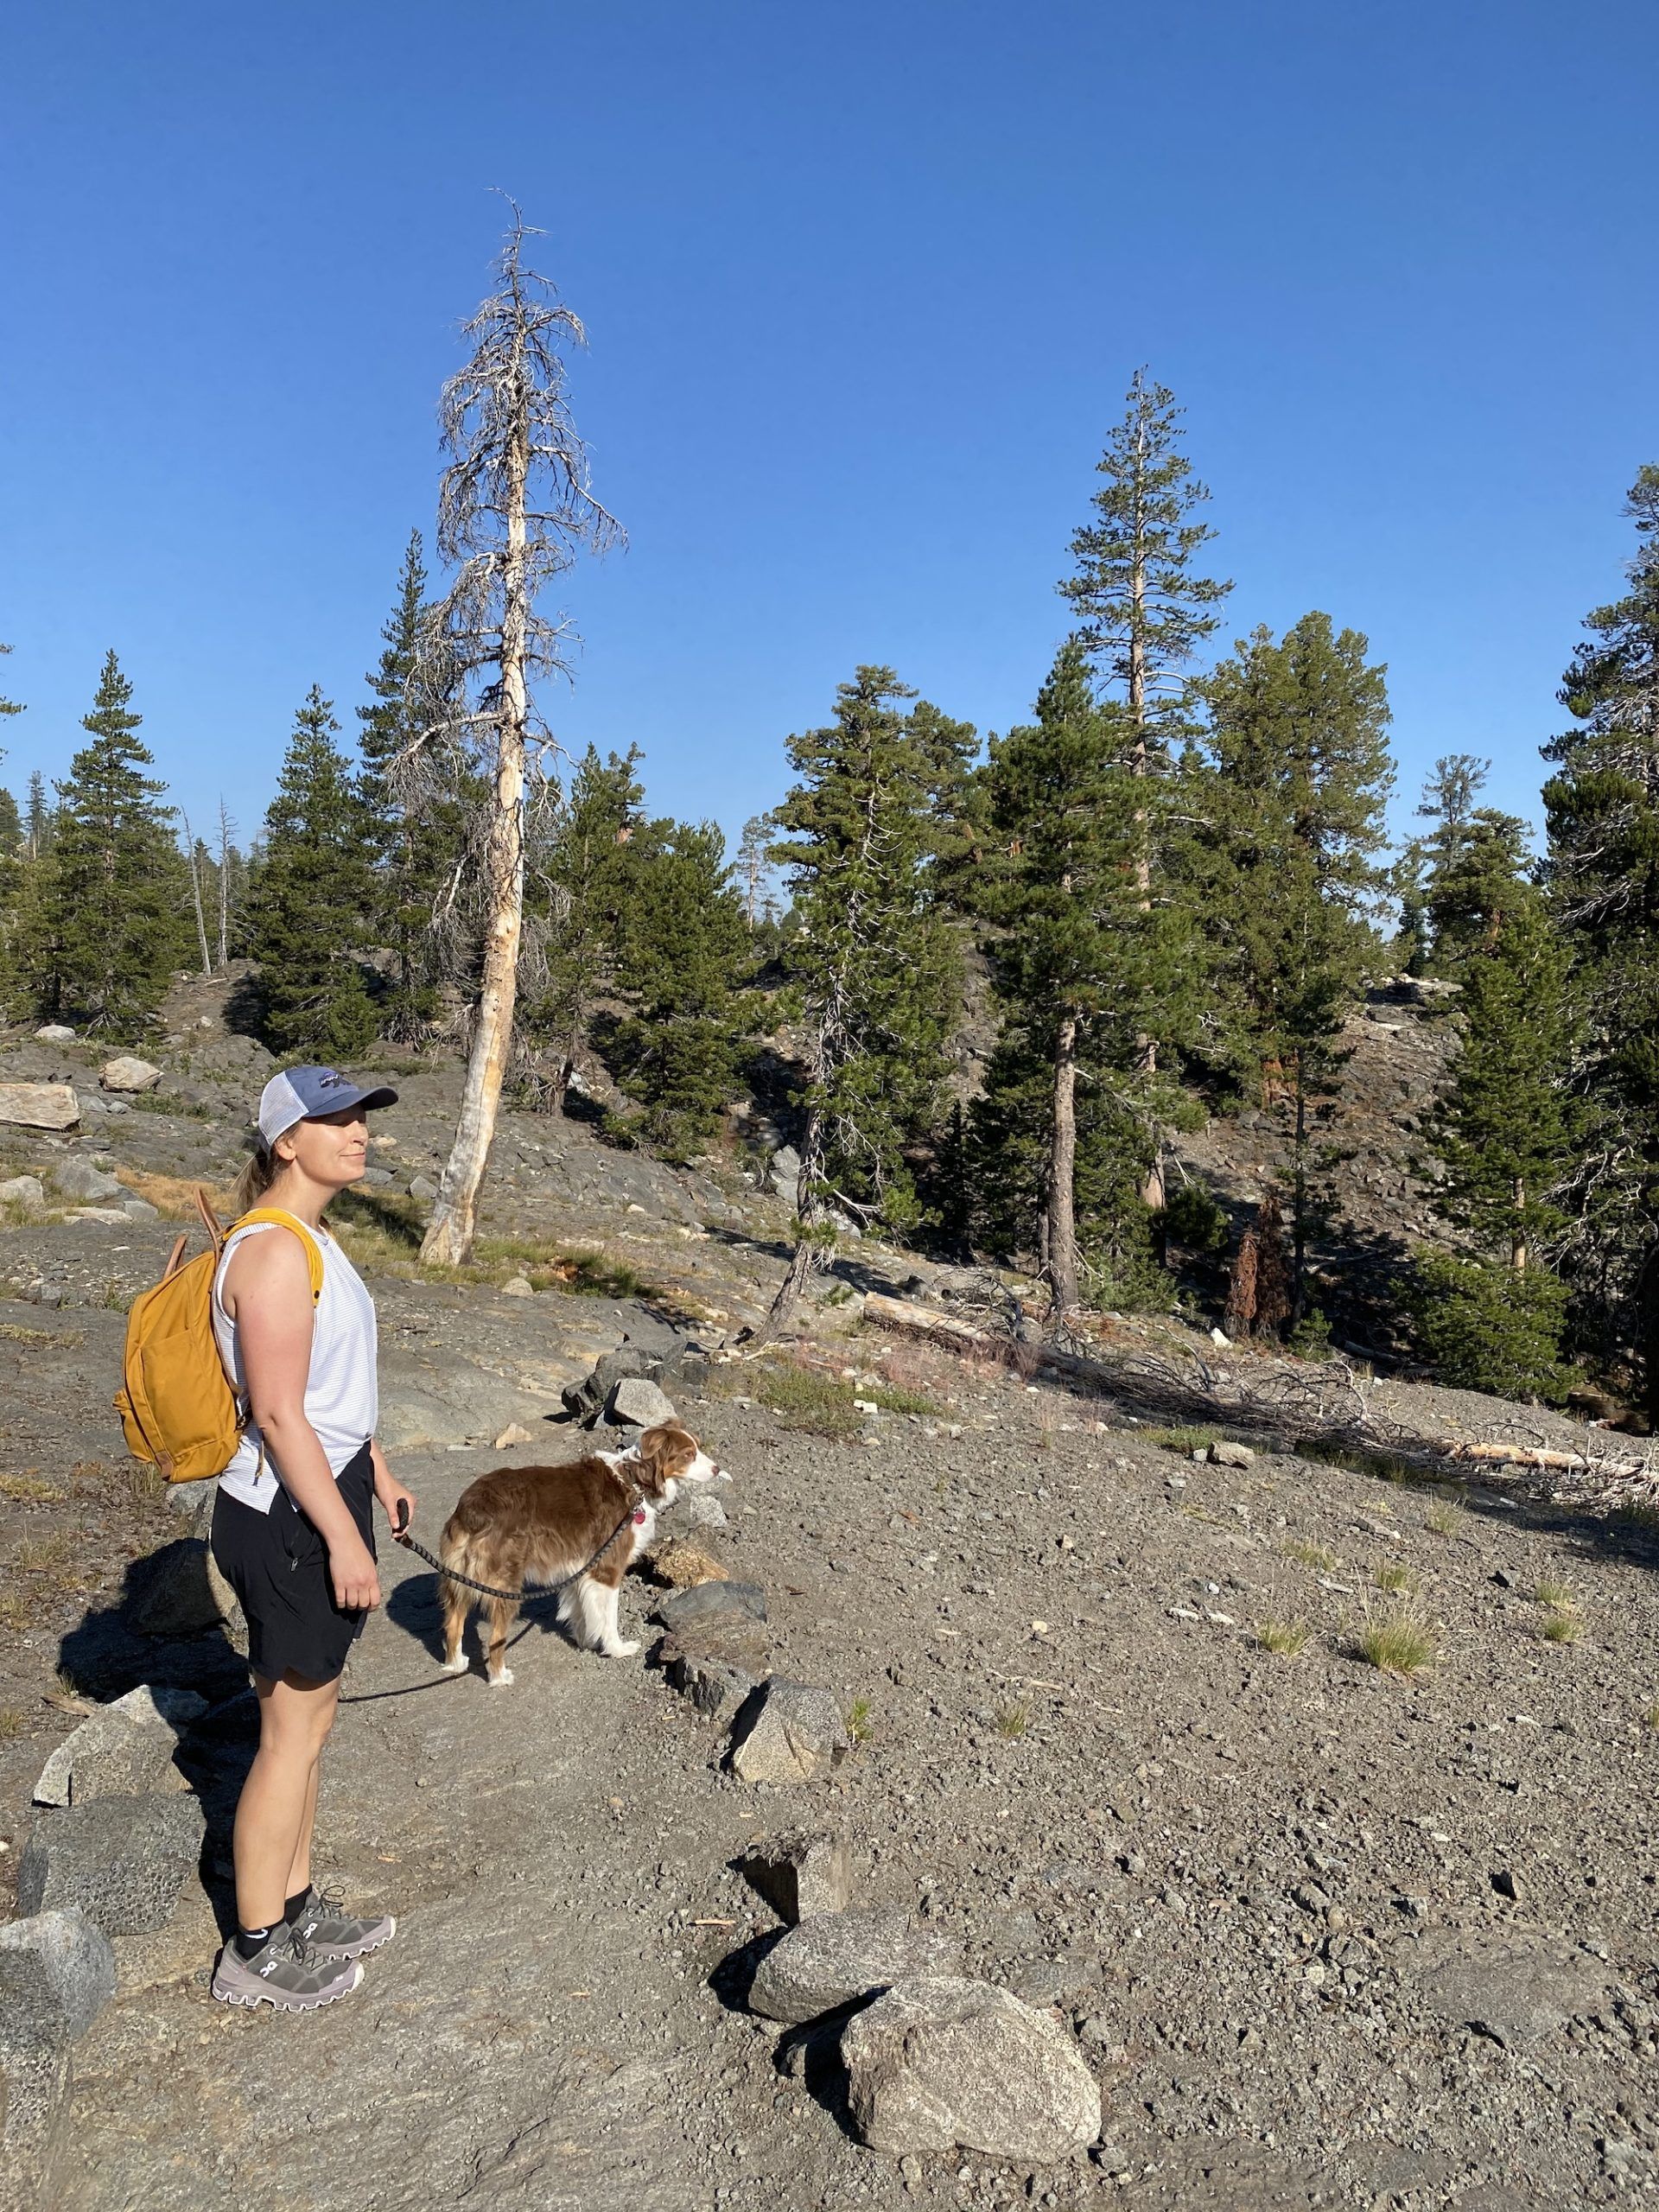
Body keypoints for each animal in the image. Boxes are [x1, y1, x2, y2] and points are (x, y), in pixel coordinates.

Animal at [442, 1424, 721, 1681]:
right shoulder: (607, 1568)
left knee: (453, 1624)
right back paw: (500, 1677)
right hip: (505, 1582)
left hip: (459, 1577)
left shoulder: (579, 1568)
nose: (717, 1469)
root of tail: (474, 1507)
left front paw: (584, 1640)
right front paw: (616, 1648)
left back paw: (456, 1664)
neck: (634, 1482)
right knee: (495, 1638)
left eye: (697, 1448)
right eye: (688, 1454)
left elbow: (581, 1609)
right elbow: (608, 1616)